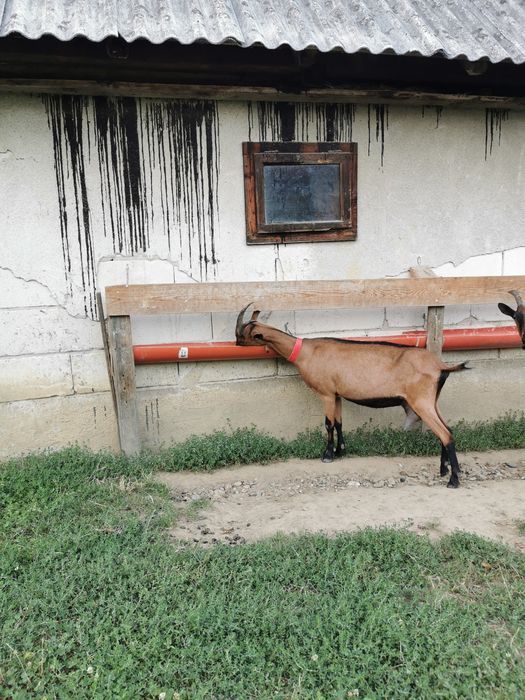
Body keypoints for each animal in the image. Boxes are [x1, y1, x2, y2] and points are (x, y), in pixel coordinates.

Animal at [236, 304, 470, 488]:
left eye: (241, 335)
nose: (236, 344)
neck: (305, 352)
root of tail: (440, 366)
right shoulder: (337, 394)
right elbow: (339, 422)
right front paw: (341, 451)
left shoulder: (326, 394)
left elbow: (328, 424)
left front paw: (328, 455)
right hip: (431, 401)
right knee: (447, 430)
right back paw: (445, 470)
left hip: (421, 401)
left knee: (445, 434)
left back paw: (453, 480)